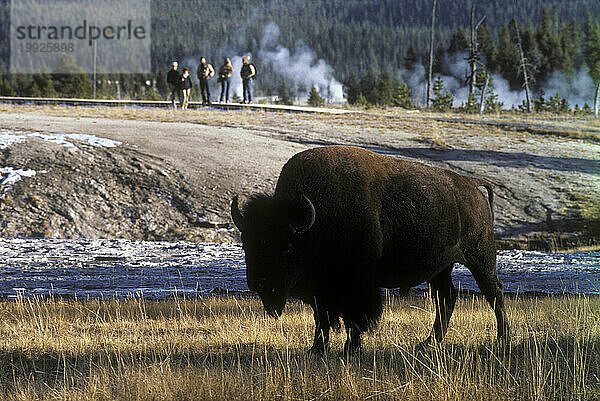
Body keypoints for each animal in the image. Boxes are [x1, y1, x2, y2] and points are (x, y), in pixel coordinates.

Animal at [232, 145, 508, 352]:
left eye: (287, 247)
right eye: (246, 243)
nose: (259, 283)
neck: (315, 221)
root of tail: (471, 184)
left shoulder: (357, 285)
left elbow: (354, 318)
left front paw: (351, 349)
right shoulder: (322, 291)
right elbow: (321, 318)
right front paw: (317, 349)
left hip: (480, 257)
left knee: (493, 293)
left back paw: (502, 338)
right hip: (442, 268)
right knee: (446, 298)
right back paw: (428, 343)